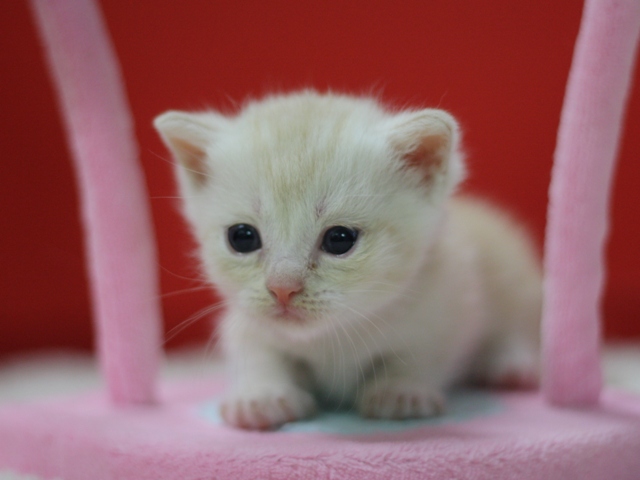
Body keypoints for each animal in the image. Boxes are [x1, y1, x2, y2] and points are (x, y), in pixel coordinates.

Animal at [155, 92, 540, 430]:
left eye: (340, 239)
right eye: (242, 237)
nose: (282, 288)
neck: (332, 335)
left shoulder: (449, 301)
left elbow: (422, 352)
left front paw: (401, 390)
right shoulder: (244, 319)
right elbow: (256, 349)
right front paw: (260, 395)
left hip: (508, 268)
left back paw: (512, 363)